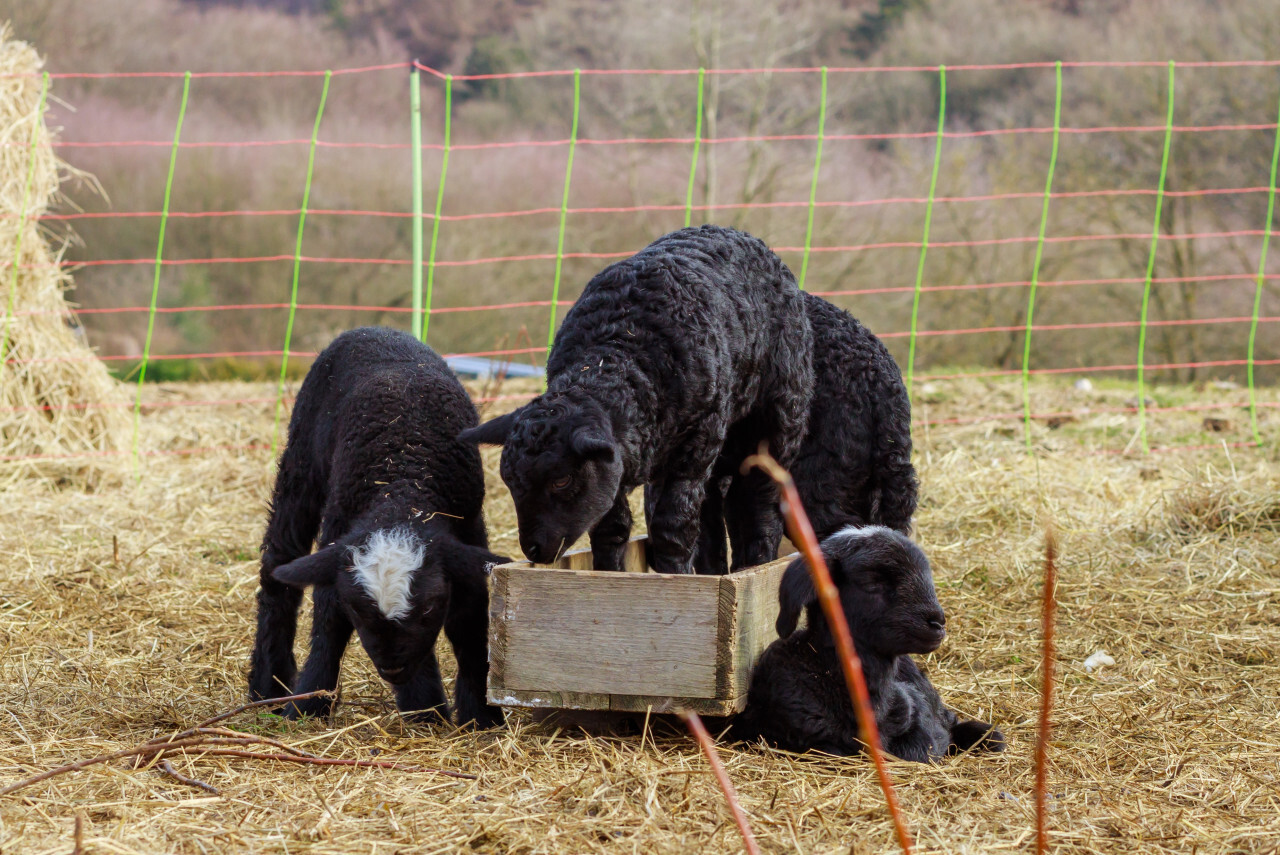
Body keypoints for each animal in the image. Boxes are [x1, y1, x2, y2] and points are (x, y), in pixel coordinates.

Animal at [247, 323, 506, 727]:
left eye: (430, 609)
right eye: (358, 610)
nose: (393, 669)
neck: (402, 475)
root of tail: (374, 328)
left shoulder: (466, 530)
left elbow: (469, 622)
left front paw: (480, 715)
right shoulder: (340, 527)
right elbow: (329, 620)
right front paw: (308, 706)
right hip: (301, 464)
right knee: (279, 566)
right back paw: (268, 685)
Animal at [460, 225, 814, 573]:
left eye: (562, 480)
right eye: (508, 481)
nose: (534, 550)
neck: (615, 352)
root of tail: (734, 232)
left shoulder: (696, 445)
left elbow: (672, 527)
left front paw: (675, 578)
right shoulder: (613, 464)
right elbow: (611, 529)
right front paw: (610, 574)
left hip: (778, 419)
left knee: (759, 503)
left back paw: (755, 563)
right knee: (713, 509)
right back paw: (715, 570)